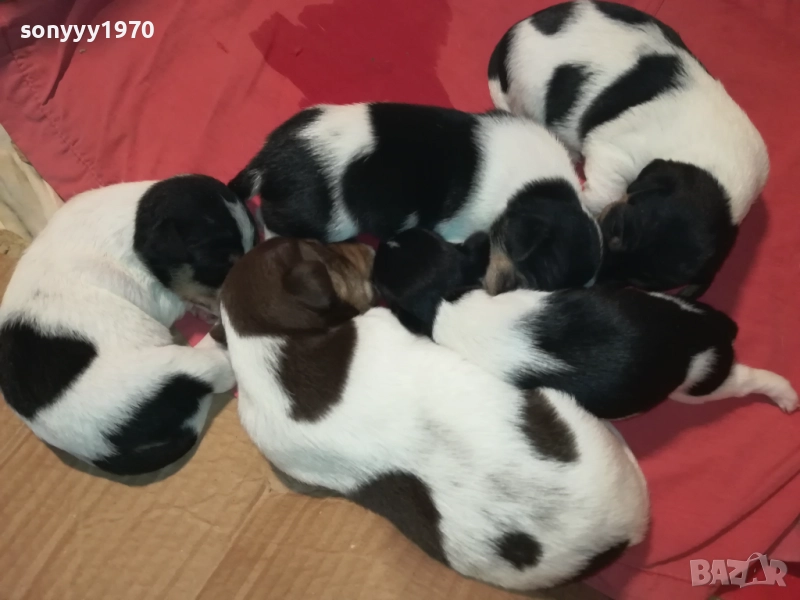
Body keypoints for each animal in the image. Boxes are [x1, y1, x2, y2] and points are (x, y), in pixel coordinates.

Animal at [0, 175, 256, 475]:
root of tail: (104, 452)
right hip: (180, 366)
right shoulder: (160, 296)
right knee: (219, 368)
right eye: (218, 268)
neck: (134, 223)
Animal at [228, 102, 602, 293]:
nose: (492, 291)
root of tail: (268, 159)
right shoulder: (459, 229)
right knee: (272, 220)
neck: (535, 187)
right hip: (327, 221)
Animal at [488, 1, 769, 297]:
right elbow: (603, 193)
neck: (711, 167)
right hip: (532, 95)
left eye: (640, 284)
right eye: (614, 231)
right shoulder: (615, 153)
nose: (596, 281)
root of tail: (510, 39)